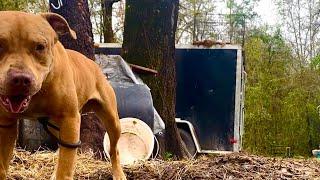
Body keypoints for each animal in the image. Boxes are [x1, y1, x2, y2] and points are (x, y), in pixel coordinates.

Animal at [0, 11, 126, 180]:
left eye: (40, 47)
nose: (20, 79)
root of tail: (93, 64)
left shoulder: (69, 119)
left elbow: (65, 169)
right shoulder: (5, 125)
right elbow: (1, 166)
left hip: (111, 120)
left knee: (114, 149)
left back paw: (118, 173)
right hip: (56, 125)